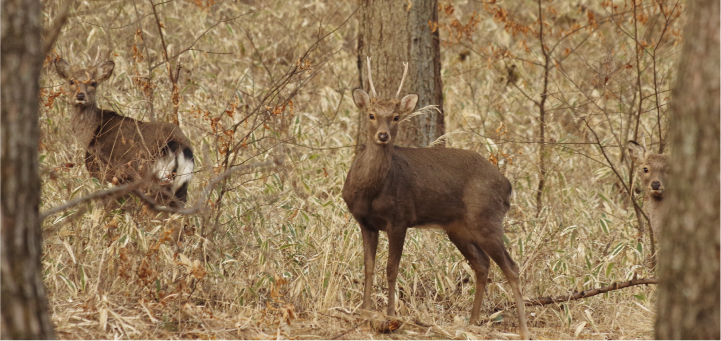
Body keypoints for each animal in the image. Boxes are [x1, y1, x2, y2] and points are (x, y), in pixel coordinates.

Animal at [55, 57, 194, 206]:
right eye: (71, 81)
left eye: (93, 83)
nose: (81, 95)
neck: (91, 134)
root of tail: (178, 148)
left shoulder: (102, 172)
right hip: (181, 186)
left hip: (150, 179)